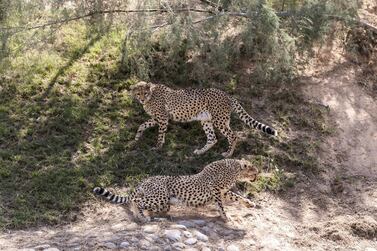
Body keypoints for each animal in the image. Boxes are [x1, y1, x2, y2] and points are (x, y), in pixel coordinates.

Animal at [94, 159, 258, 222]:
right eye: (254, 172)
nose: (257, 177)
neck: (235, 169)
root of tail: (145, 180)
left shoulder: (223, 191)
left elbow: (237, 197)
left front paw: (249, 203)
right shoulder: (217, 191)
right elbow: (221, 206)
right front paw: (225, 217)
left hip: (163, 202)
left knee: (152, 206)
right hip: (161, 197)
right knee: (137, 200)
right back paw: (142, 217)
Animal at [129, 81, 276, 157]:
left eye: (145, 93)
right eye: (138, 93)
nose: (142, 99)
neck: (151, 95)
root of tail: (227, 94)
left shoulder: (163, 118)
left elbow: (160, 133)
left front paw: (158, 147)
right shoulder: (157, 118)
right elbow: (142, 125)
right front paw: (136, 139)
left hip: (219, 120)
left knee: (233, 135)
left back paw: (228, 154)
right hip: (206, 120)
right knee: (212, 138)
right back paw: (200, 152)